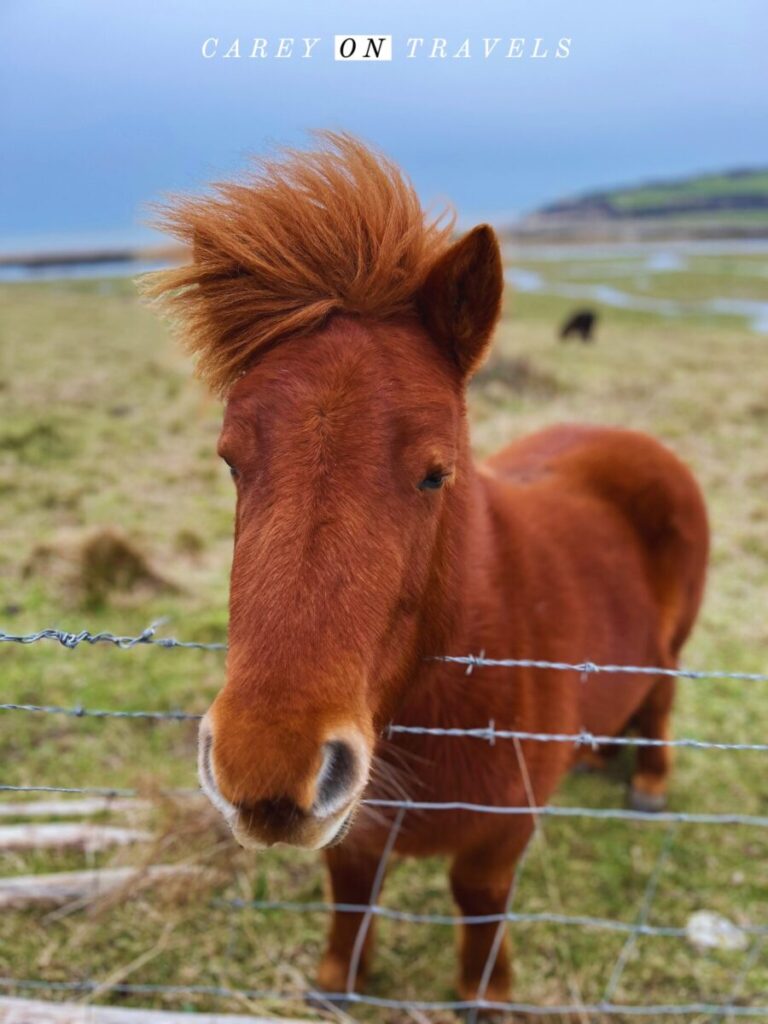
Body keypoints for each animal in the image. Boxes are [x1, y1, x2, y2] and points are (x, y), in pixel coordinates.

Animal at [148, 132, 708, 1003]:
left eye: (435, 474)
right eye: (232, 462)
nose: (267, 768)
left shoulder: (498, 839)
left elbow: (477, 905)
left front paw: (486, 995)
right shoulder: (354, 829)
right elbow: (351, 894)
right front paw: (338, 979)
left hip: (675, 650)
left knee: (660, 701)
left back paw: (646, 781)